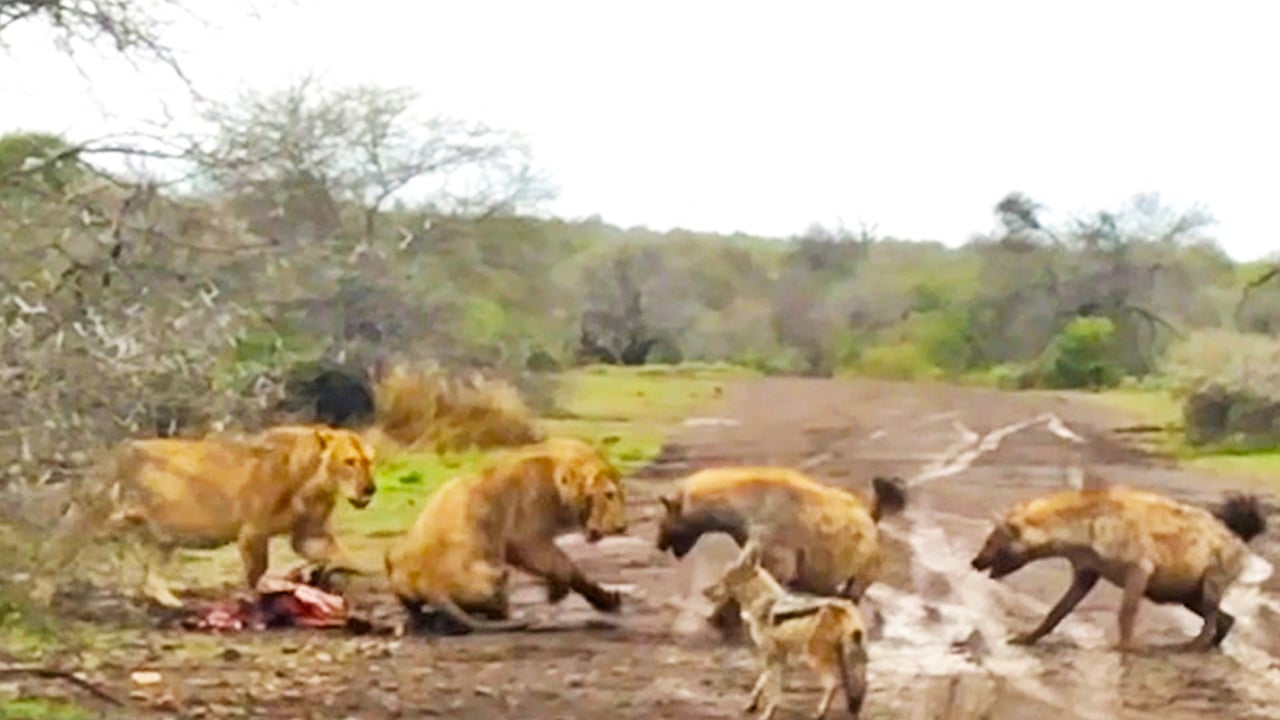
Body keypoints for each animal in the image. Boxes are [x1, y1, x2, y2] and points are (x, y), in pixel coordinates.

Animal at [42, 425, 376, 608]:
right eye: (349, 461)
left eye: (370, 461)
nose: (371, 489)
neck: (314, 482)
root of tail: (108, 456)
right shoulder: (253, 530)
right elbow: (257, 572)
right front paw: (265, 597)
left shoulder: (309, 535)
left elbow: (345, 555)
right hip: (88, 515)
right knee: (52, 558)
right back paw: (39, 598)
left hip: (159, 536)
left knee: (150, 580)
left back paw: (172, 603)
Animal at [384, 436, 627, 634]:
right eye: (609, 495)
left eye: (620, 494)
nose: (622, 527)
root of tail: (432, 585)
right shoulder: (525, 539)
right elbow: (566, 566)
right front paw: (561, 592)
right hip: (497, 571)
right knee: (495, 611)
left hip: (396, 555)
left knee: (416, 609)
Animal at [656, 466, 906, 634]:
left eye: (664, 518)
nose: (658, 543)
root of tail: (872, 516)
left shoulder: (775, 547)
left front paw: (721, 618)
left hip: (863, 565)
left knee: (853, 592)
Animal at [971, 486, 1269, 651]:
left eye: (991, 542)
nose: (974, 561)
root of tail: (1238, 537)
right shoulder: (1088, 568)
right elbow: (1060, 608)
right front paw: (1025, 637)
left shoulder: (1140, 565)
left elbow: (1127, 610)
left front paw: (1126, 646)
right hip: (1185, 591)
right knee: (1221, 615)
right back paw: (1212, 644)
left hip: (1212, 571)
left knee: (1210, 607)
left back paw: (1194, 644)